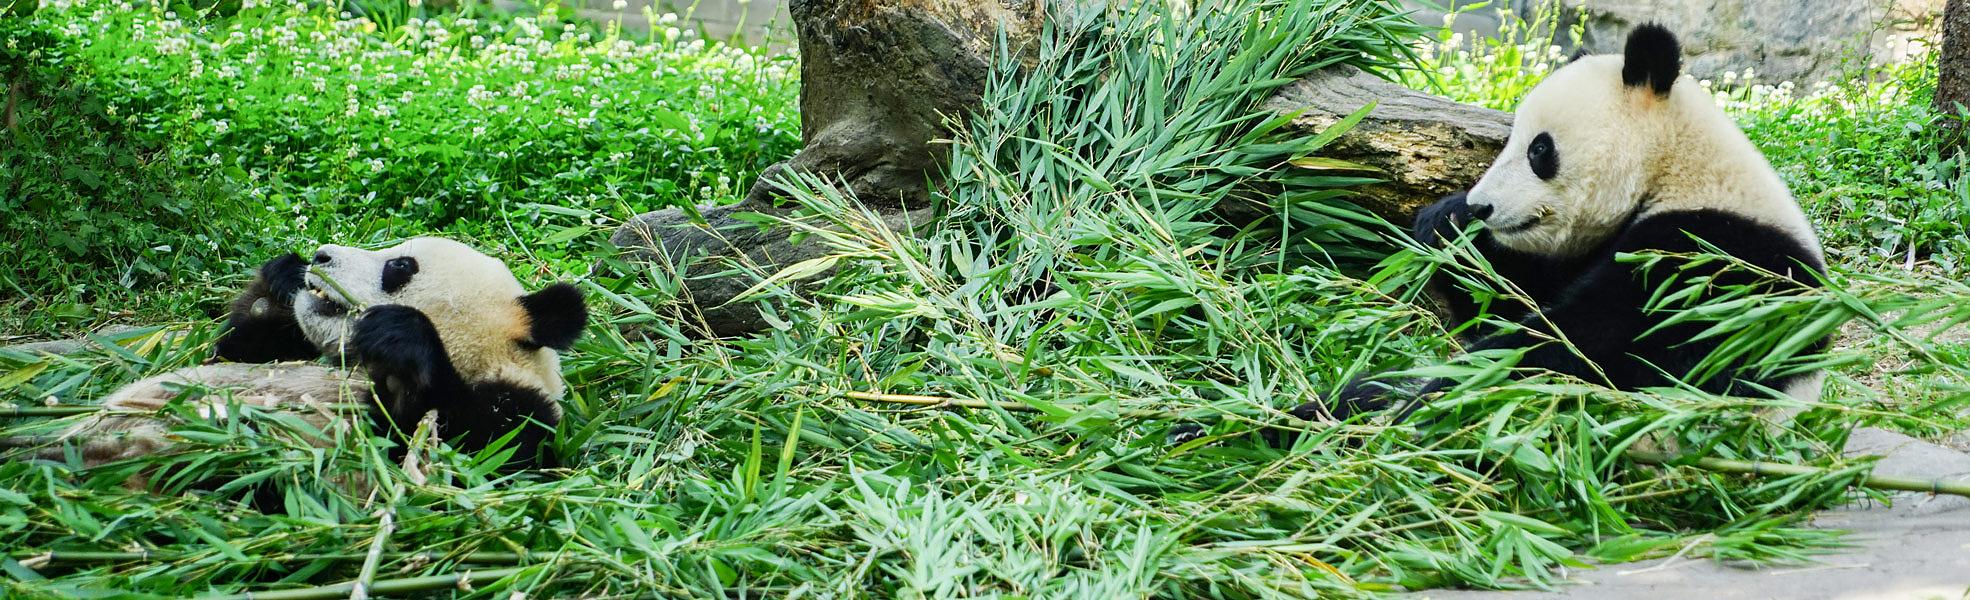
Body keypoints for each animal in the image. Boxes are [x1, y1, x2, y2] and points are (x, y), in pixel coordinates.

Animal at [27, 236, 586, 487]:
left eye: (399, 266)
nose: (320, 255)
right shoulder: (285, 354)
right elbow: (239, 349)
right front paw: (283, 279)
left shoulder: (522, 414)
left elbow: (468, 457)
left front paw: (401, 339)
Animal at [1293, 25, 1827, 423]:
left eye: (1539, 150)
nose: (1483, 207)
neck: (1675, 167)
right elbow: (1513, 300)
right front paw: (1446, 223)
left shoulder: (1714, 261)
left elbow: (1591, 346)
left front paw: (1450, 391)